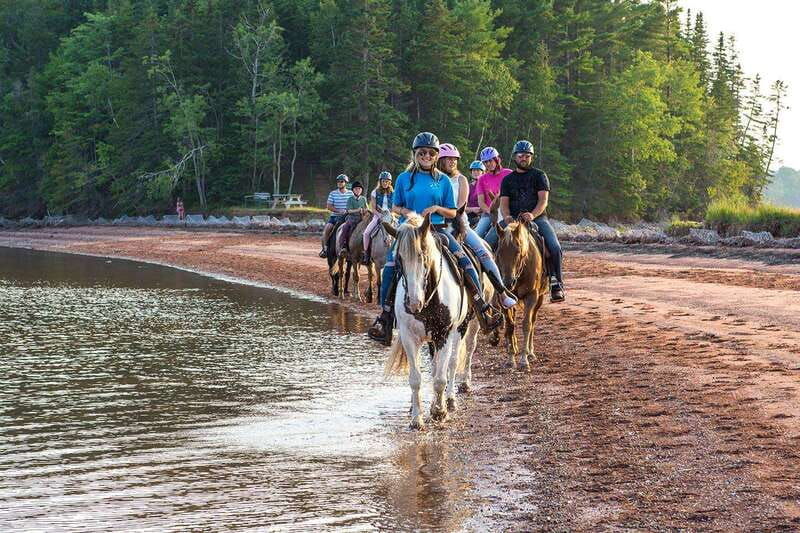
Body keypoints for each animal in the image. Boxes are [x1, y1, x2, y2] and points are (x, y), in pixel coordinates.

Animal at [383, 211, 486, 429]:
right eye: (399, 259)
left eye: (423, 256)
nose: (413, 302)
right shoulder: (409, 337)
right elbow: (416, 378)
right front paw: (416, 418)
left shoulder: (444, 335)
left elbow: (440, 377)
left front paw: (439, 411)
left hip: (463, 327)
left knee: (453, 362)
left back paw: (450, 400)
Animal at [493, 221, 549, 371]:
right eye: (499, 252)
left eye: (518, 251)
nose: (508, 283)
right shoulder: (504, 299)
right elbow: (510, 325)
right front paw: (511, 358)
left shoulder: (532, 296)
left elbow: (526, 324)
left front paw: (524, 360)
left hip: (540, 298)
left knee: (533, 320)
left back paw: (530, 352)